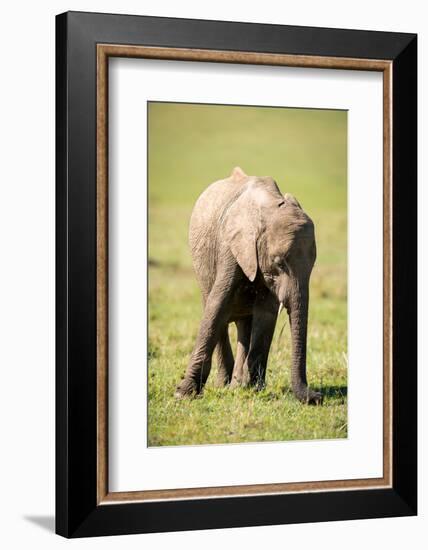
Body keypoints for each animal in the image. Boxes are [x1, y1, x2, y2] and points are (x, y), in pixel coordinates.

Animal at [174, 167, 320, 406]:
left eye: (313, 266)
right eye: (279, 263)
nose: (316, 397)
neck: (269, 206)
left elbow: (266, 313)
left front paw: (254, 389)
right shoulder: (231, 245)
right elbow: (217, 306)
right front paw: (183, 393)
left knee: (245, 325)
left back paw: (236, 385)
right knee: (217, 313)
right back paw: (225, 384)